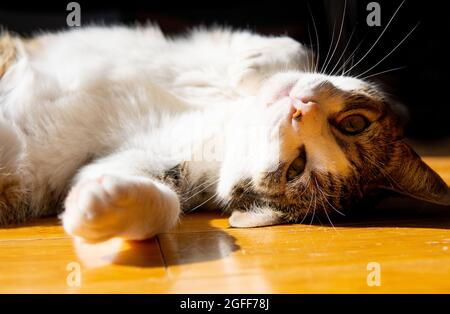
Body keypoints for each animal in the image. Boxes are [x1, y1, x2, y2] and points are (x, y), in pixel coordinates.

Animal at [0, 23, 448, 243]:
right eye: (354, 123)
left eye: (296, 168)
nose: (300, 108)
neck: (225, 117)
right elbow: (293, 46)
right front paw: (254, 64)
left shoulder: (151, 162)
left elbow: (155, 198)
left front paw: (101, 204)